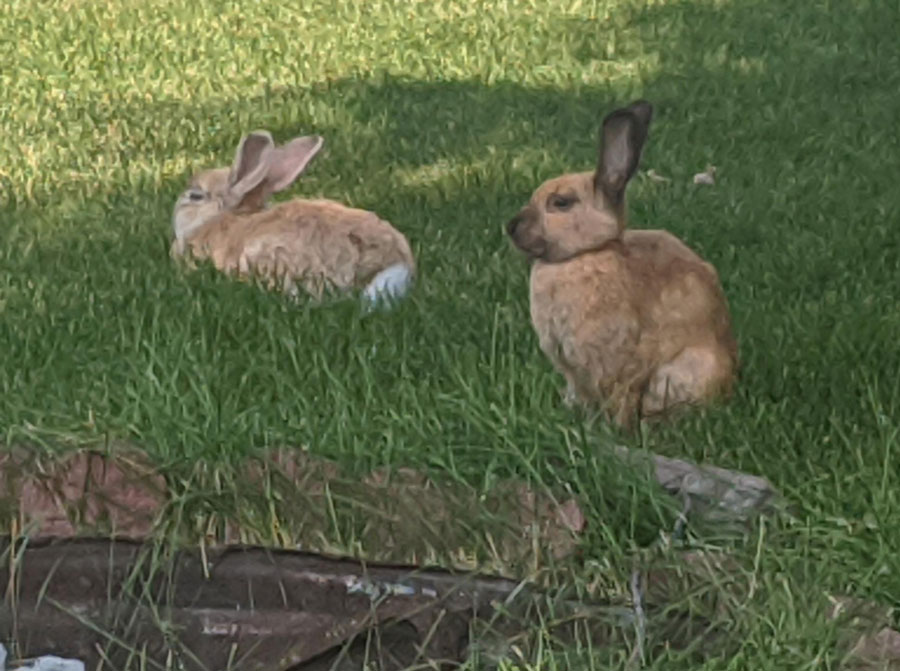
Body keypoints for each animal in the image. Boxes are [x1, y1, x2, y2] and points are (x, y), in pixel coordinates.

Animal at [506, 100, 740, 426]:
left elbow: (621, 399)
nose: (511, 227)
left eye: (561, 203)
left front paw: (614, 429)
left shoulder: (620, 367)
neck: (588, 252)